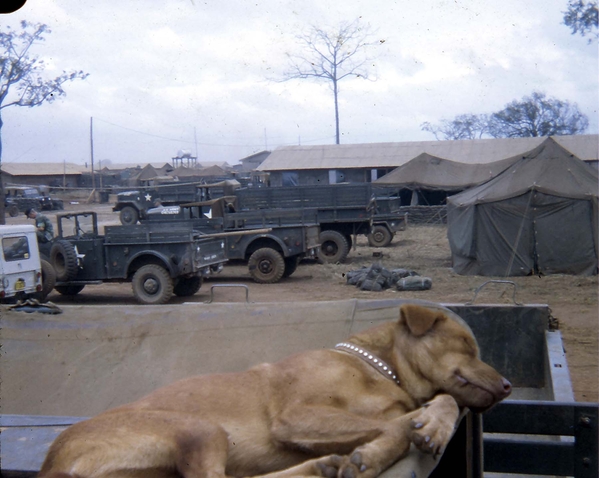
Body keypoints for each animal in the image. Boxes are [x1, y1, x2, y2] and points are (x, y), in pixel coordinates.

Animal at [39, 304, 512, 476]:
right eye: (468, 344)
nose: (509, 385)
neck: (377, 369)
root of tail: (51, 464)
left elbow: (434, 402)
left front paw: (429, 424)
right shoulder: (296, 416)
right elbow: (400, 423)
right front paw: (382, 451)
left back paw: (319, 466)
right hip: (200, 429)